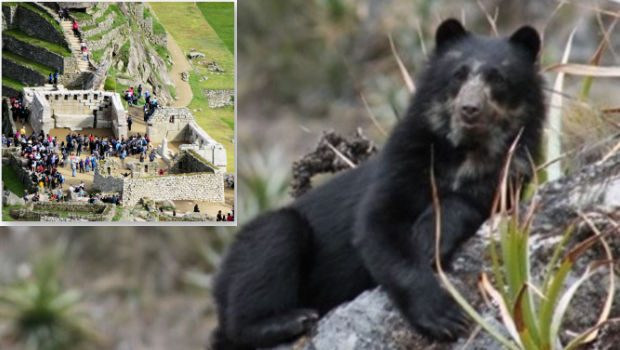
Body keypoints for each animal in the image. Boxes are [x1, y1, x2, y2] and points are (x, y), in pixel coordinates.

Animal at [211, 19, 544, 350]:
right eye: (457, 74)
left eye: (498, 78)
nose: (470, 109)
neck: (465, 151)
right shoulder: (402, 162)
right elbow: (377, 225)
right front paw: (445, 317)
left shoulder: (512, 170)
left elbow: (474, 202)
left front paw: (429, 237)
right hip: (252, 254)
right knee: (270, 247)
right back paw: (290, 320)